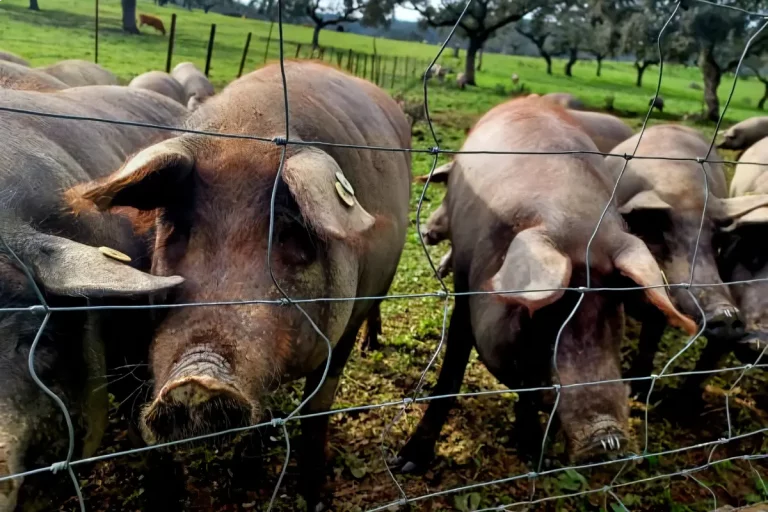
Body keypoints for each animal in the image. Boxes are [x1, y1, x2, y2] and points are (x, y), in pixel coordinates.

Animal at [68, 61, 411, 509]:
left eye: (291, 234)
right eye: (179, 228)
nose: (196, 378)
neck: (247, 127)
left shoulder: (345, 325)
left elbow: (316, 410)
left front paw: (316, 496)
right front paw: (243, 478)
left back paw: (373, 345)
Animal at [392, 97, 695, 472]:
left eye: (614, 311)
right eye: (545, 316)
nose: (606, 436)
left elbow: (528, 393)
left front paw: (533, 453)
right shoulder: (465, 285)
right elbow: (453, 372)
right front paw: (406, 464)